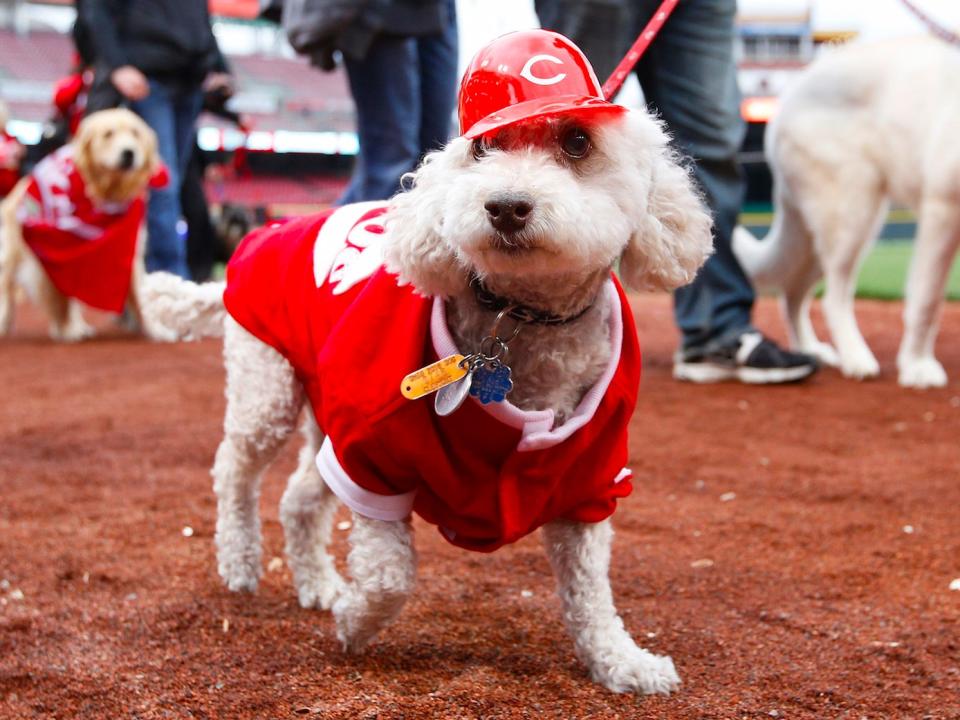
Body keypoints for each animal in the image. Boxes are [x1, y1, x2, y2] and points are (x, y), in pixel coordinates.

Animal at [0, 108, 161, 342]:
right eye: (108, 134)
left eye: (135, 133)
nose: (129, 153)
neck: (103, 196)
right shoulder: (51, 261)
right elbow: (60, 301)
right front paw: (66, 330)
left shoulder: (128, 252)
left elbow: (141, 296)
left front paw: (156, 329)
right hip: (14, 256)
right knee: (6, 287)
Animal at [142, 31, 712, 696]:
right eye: (484, 147)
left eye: (577, 141)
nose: (506, 206)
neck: (518, 317)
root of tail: (267, 233)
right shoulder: (370, 452)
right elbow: (390, 576)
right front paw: (354, 620)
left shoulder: (590, 481)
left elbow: (591, 592)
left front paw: (622, 661)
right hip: (268, 387)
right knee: (234, 469)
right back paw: (240, 562)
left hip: (323, 414)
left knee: (298, 499)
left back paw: (318, 584)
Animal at [736, 36, 960, 388]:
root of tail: (790, 95)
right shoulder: (943, 209)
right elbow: (928, 299)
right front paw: (917, 366)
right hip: (853, 213)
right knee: (834, 297)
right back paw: (856, 357)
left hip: (824, 231)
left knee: (794, 292)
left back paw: (809, 348)